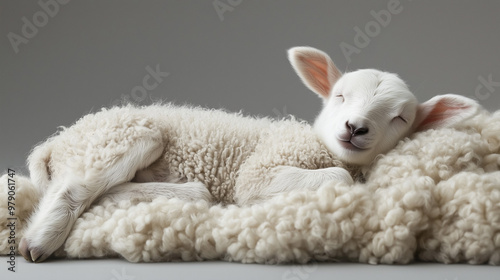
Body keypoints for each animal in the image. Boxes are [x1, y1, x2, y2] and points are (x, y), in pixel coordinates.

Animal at [14, 46, 476, 262]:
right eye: (340, 96)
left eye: (400, 118)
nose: (355, 127)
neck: (318, 144)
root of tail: (58, 141)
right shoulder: (260, 172)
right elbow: (336, 180)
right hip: (122, 135)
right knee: (74, 188)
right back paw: (40, 240)